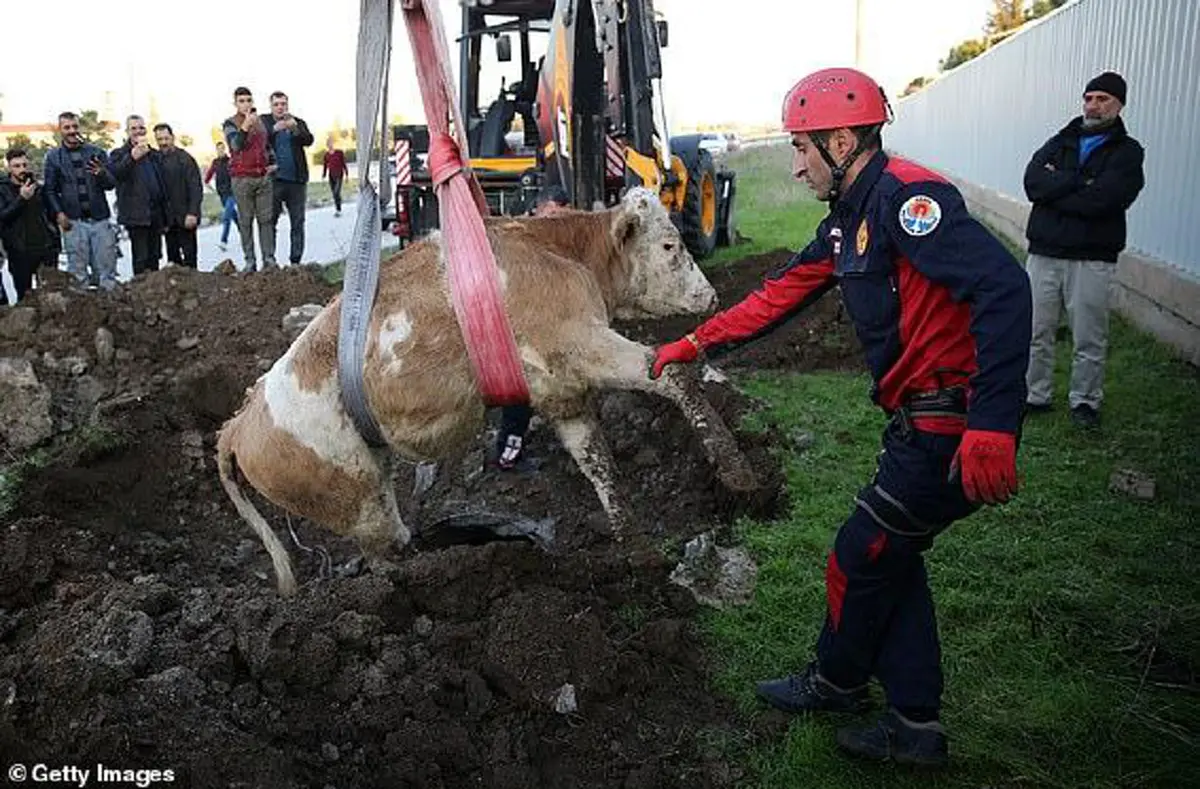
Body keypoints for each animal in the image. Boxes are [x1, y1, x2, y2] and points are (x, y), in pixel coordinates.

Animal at [220, 187, 753, 592]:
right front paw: (736, 471)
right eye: (669, 246)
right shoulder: (581, 345)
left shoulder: (561, 389)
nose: (710, 296)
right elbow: (670, 374)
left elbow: (596, 461)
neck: (558, 252)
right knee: (385, 556)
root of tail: (237, 424)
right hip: (360, 505)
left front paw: (638, 551)